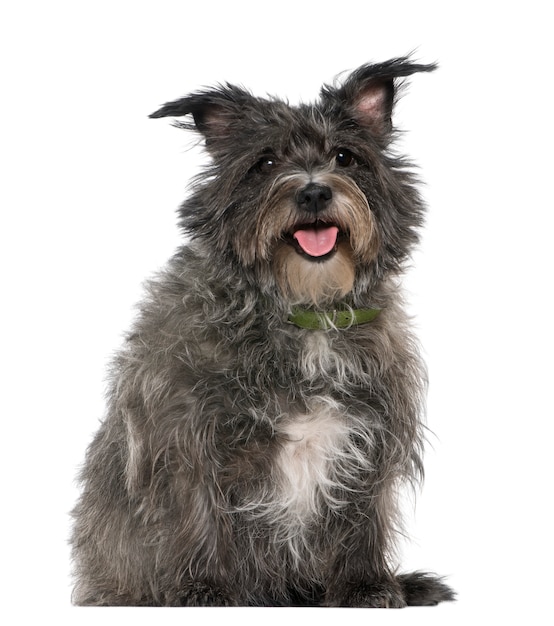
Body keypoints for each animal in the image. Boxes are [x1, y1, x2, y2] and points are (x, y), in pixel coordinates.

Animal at [71, 58, 452, 604]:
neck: (303, 311)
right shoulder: (187, 435)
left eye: (345, 156)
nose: (314, 190)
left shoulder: (369, 435)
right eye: (265, 163)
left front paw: (364, 586)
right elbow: (199, 510)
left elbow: (361, 514)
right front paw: (204, 592)